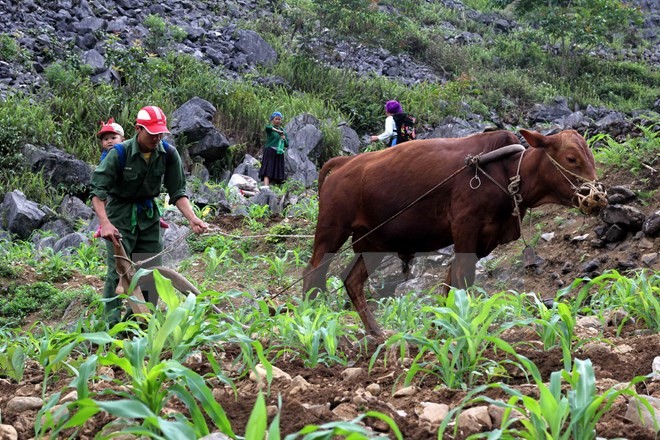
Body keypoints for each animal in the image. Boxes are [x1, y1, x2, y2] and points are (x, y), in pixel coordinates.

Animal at [302, 129, 604, 336]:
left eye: (591, 157)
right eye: (571, 158)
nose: (599, 197)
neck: (506, 172)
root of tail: (342, 164)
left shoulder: (481, 239)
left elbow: (450, 283)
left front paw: (442, 325)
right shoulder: (465, 229)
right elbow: (463, 279)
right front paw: (460, 325)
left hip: (374, 243)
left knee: (352, 281)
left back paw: (376, 332)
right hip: (331, 232)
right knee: (312, 274)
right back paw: (308, 324)